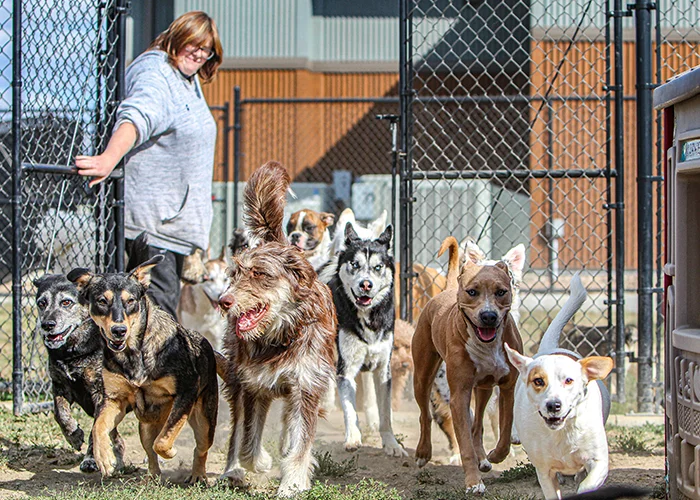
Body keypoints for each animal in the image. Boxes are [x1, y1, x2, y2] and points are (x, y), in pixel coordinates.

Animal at [34, 274, 126, 472]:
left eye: (66, 302)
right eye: (41, 303)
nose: (47, 325)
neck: (73, 352)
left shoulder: (99, 393)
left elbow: (95, 429)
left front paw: (91, 459)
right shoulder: (60, 386)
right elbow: (59, 413)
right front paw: (73, 435)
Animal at [67, 254, 219, 480]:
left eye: (130, 301)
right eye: (102, 301)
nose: (119, 330)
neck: (134, 353)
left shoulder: (187, 390)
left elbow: (163, 440)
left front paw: (170, 451)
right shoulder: (114, 399)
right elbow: (98, 425)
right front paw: (104, 457)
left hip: (205, 419)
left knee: (200, 447)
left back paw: (198, 475)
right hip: (145, 426)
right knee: (149, 446)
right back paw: (153, 476)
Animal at [219, 161, 340, 496]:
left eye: (260, 274)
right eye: (234, 274)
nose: (224, 301)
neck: (280, 336)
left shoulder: (306, 385)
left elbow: (300, 440)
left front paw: (294, 482)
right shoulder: (253, 385)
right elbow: (248, 439)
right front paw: (257, 463)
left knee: (289, 423)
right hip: (235, 375)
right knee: (236, 430)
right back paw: (232, 470)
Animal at [412, 236, 524, 494]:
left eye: (502, 292)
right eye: (472, 292)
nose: (489, 316)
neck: (487, 345)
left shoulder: (507, 388)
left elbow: (505, 430)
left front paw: (496, 455)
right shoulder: (459, 395)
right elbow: (464, 443)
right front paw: (473, 482)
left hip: (483, 388)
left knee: (478, 425)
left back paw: (484, 457)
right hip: (422, 375)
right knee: (425, 415)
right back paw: (423, 453)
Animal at [504, 274, 612, 500]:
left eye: (569, 380)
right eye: (538, 381)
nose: (553, 405)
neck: (562, 432)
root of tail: (550, 347)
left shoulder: (599, 463)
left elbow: (587, 484)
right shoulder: (545, 471)